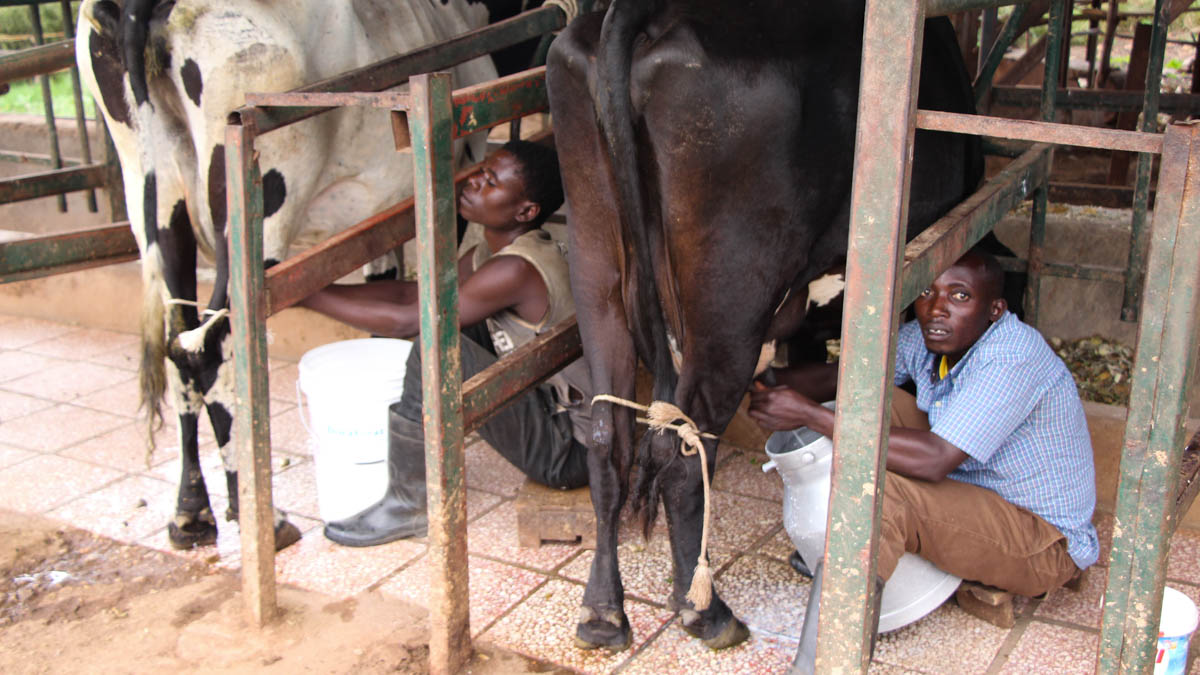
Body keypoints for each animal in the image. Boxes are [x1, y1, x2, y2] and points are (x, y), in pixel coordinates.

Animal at [73, 0, 506, 547]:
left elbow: (381, 289)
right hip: (260, 196)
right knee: (212, 348)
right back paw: (256, 512)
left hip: (153, 195)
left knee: (178, 346)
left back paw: (190, 513)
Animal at [549, 1, 988, 653]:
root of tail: (642, 10)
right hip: (731, 293)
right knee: (684, 454)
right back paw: (704, 609)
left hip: (594, 254)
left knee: (608, 439)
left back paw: (602, 614)